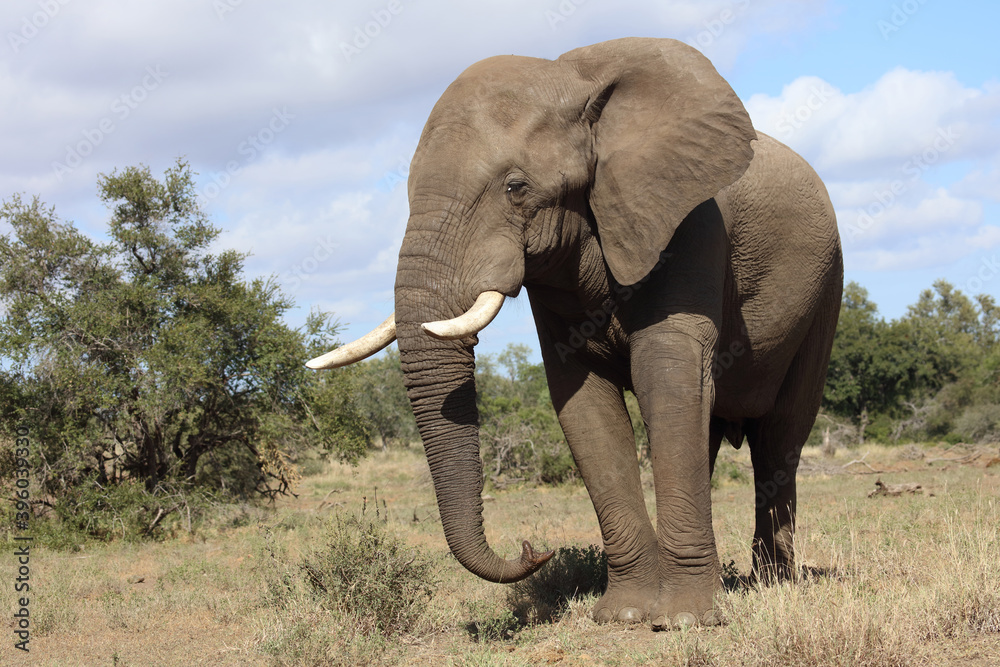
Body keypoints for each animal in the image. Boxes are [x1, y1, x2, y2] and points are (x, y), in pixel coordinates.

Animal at [308, 37, 843, 630]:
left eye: (516, 188)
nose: (533, 549)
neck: (577, 85)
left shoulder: (691, 225)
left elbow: (666, 378)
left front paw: (684, 620)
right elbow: (583, 404)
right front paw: (625, 614)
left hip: (826, 290)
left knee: (780, 435)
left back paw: (773, 581)